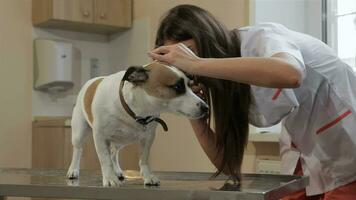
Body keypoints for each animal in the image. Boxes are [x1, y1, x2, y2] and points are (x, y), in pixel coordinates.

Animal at [66, 61, 209, 187]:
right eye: (177, 87)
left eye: (190, 86)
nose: (205, 107)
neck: (134, 109)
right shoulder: (100, 137)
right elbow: (105, 160)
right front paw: (110, 178)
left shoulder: (148, 138)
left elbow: (143, 159)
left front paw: (148, 176)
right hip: (79, 133)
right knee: (78, 150)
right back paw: (73, 170)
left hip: (120, 141)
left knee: (113, 152)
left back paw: (117, 170)